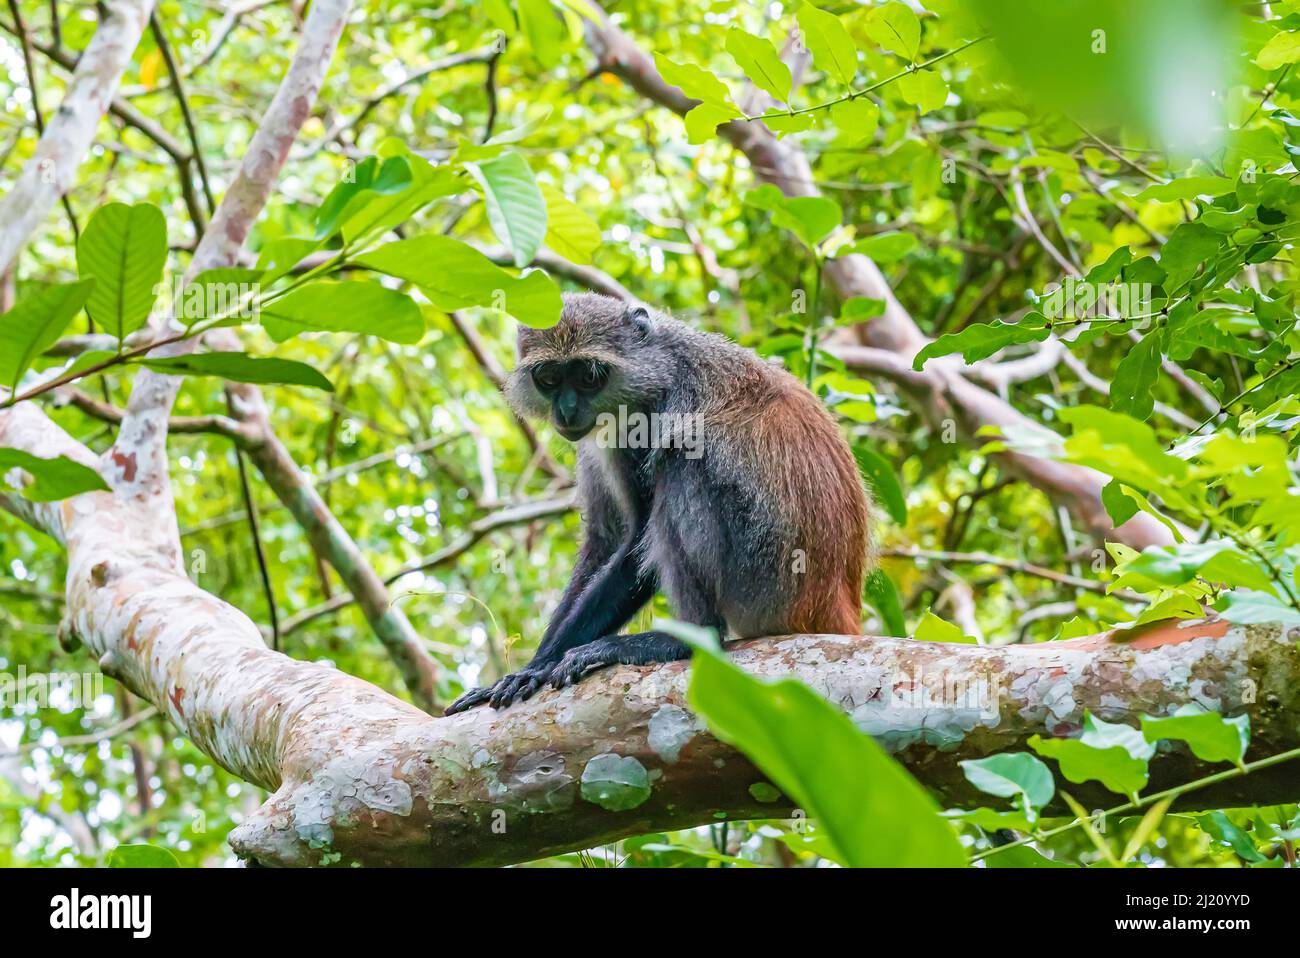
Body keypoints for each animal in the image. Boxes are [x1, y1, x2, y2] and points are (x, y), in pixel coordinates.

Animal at [441, 295, 868, 712]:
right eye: (548, 378)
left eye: (589, 375)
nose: (567, 410)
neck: (656, 365)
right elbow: (605, 540)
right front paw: (535, 663)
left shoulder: (648, 420)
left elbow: (636, 545)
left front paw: (536, 668)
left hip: (766, 579)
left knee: (685, 464)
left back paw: (687, 639)